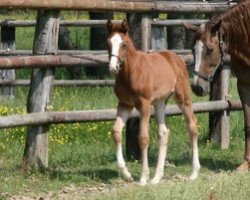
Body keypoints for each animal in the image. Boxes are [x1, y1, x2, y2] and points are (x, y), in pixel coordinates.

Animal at [106, 19, 200, 185]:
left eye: (124, 44)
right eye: (108, 43)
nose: (113, 67)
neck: (131, 72)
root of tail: (175, 57)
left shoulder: (144, 106)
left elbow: (143, 138)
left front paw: (143, 177)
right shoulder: (124, 104)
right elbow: (116, 132)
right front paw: (127, 174)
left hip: (183, 99)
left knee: (192, 127)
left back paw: (194, 172)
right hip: (160, 102)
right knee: (164, 132)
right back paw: (157, 177)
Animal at [185, 0, 250, 171]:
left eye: (210, 49)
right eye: (192, 49)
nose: (197, 87)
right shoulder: (244, 85)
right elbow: (248, 124)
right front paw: (246, 164)